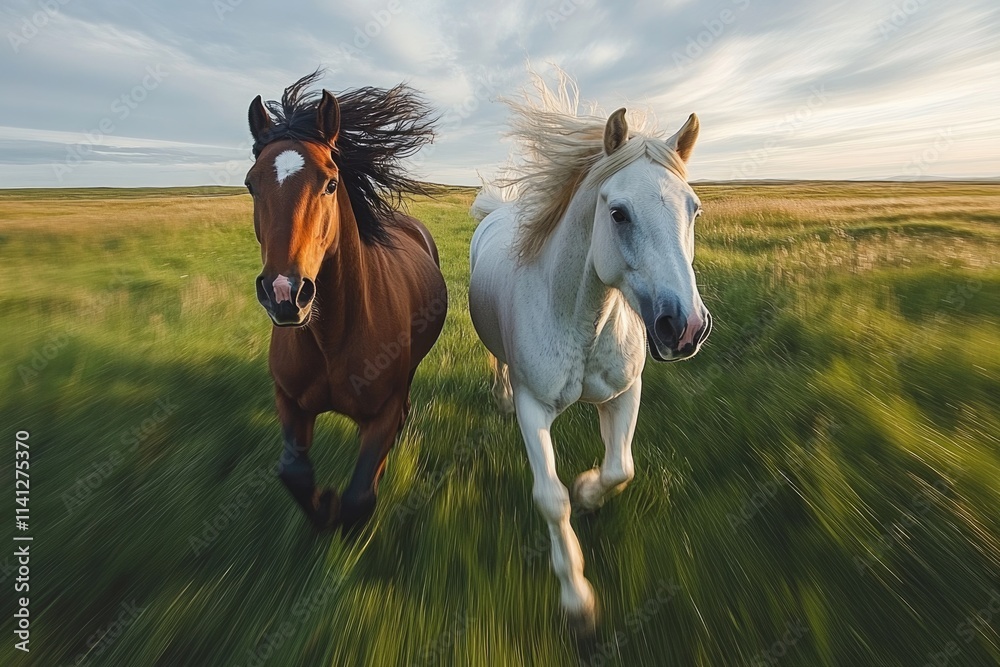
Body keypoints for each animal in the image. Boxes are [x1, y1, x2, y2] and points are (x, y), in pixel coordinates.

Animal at [245, 72, 447, 533]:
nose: (284, 293)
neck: (332, 335)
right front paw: (322, 509)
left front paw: (338, 514)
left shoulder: (381, 414)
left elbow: (360, 496)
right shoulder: (289, 401)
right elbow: (294, 471)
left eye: (331, 183)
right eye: (250, 184)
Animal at [468, 73, 711, 632]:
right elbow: (550, 499)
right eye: (617, 213)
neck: (584, 321)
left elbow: (621, 468)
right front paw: (577, 598)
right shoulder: (536, 408)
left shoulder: (624, 394)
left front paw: (588, 492)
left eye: (694, 208)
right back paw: (499, 397)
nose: (685, 327)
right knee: (499, 364)